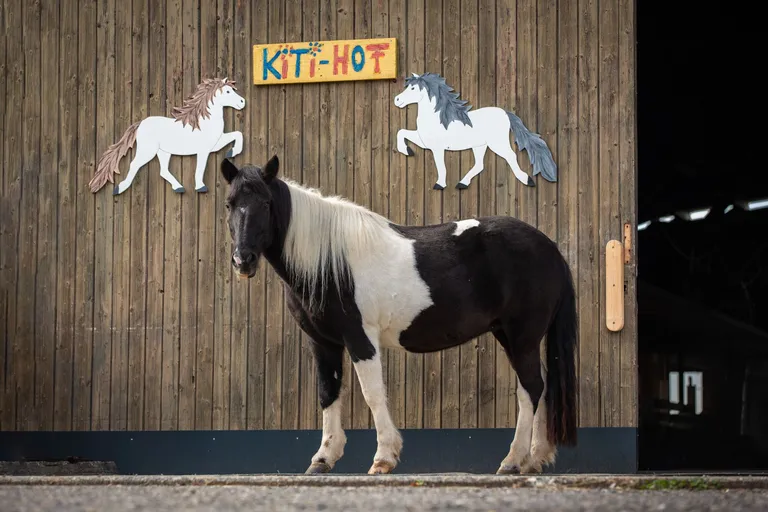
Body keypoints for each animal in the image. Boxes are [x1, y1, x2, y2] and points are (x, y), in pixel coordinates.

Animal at [88, 77, 246, 195]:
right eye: (227, 91)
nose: (242, 102)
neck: (203, 122)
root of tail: (140, 124)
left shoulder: (215, 145)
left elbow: (237, 134)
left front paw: (232, 152)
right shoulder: (204, 150)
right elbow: (200, 168)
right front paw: (201, 187)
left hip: (163, 152)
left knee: (163, 171)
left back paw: (179, 187)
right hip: (148, 151)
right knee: (134, 165)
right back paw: (119, 188)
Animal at [220, 154, 578, 475]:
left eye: (266, 203)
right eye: (229, 204)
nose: (243, 260)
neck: (331, 261)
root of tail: (550, 248)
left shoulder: (360, 338)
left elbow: (373, 394)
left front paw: (383, 458)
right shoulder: (323, 342)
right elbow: (328, 392)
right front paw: (323, 459)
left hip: (521, 336)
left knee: (530, 388)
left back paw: (513, 461)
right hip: (512, 335)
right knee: (540, 386)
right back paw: (534, 459)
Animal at [394, 72, 558, 190]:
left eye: (413, 88)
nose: (397, 100)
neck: (437, 119)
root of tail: (505, 113)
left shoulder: (437, 148)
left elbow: (440, 166)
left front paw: (439, 184)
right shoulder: (424, 142)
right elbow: (401, 132)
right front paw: (407, 151)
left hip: (496, 144)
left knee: (511, 156)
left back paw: (527, 180)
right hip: (480, 145)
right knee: (480, 165)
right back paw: (462, 183)